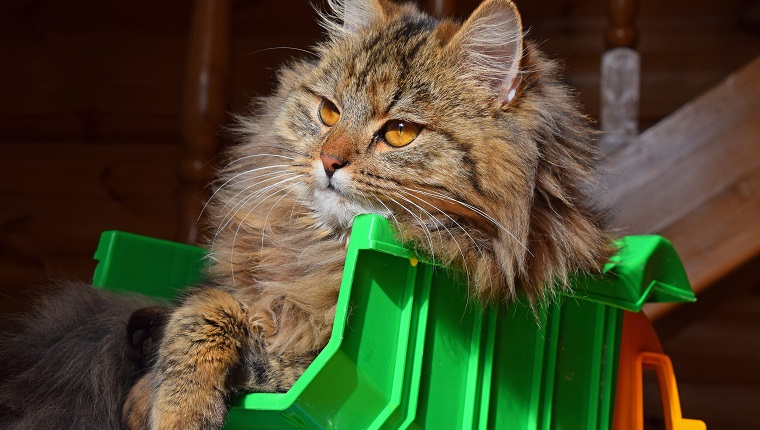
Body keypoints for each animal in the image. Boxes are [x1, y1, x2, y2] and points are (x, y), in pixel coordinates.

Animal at [0, 0, 612, 428]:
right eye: (329, 112)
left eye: (399, 132)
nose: (328, 161)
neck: (321, 250)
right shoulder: (234, 295)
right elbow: (202, 316)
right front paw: (168, 403)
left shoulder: (304, 360)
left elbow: (255, 356)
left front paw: (166, 404)